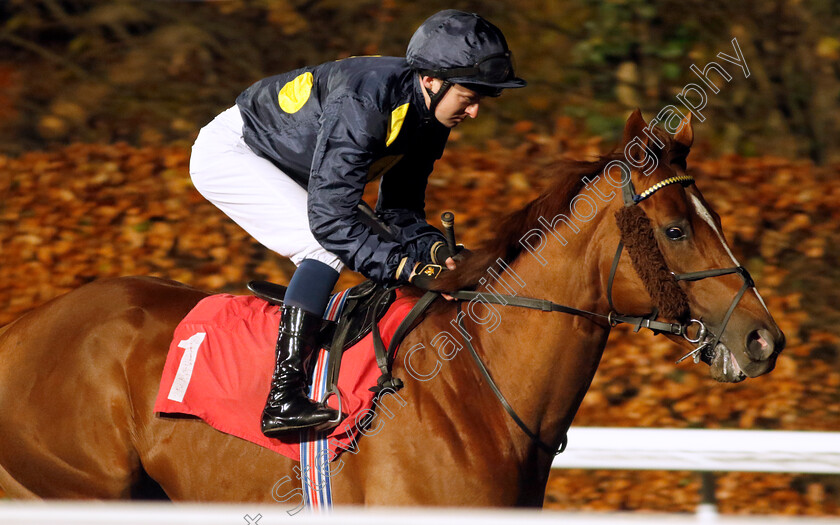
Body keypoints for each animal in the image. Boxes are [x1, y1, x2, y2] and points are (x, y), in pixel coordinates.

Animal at [3, 109, 784, 504]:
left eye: (715, 217)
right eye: (676, 229)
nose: (764, 339)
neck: (479, 393)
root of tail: (24, 323)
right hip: (85, 485)